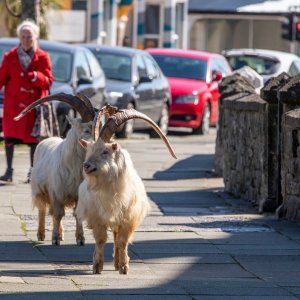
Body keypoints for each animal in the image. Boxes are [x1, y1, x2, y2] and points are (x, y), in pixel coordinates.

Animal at [76, 108, 177, 274]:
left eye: (105, 151)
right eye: (88, 149)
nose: (87, 166)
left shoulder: (128, 217)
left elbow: (122, 241)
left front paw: (124, 267)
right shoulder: (97, 217)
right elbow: (100, 240)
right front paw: (97, 266)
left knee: (117, 237)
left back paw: (117, 263)